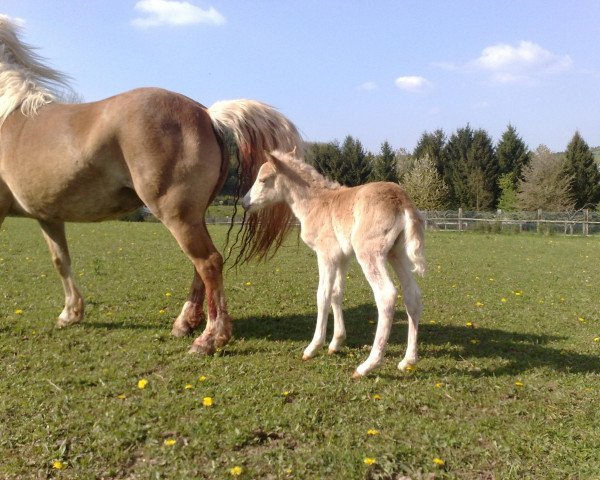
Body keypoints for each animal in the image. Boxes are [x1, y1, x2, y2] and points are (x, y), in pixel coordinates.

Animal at [0, 16, 300, 354]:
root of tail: (207, 114)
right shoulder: (48, 216)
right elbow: (60, 260)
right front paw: (71, 313)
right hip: (192, 215)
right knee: (202, 265)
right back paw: (185, 323)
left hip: (176, 214)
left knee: (208, 262)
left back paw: (210, 338)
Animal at [241, 152, 424, 376]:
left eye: (263, 179)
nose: (244, 202)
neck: (315, 203)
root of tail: (401, 201)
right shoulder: (342, 257)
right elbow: (337, 293)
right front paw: (336, 343)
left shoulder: (326, 254)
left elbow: (323, 295)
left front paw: (313, 347)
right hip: (396, 253)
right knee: (412, 295)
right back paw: (408, 360)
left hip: (370, 253)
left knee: (386, 294)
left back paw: (367, 365)